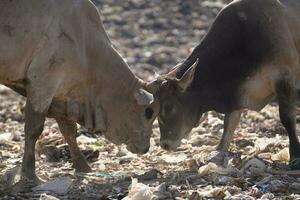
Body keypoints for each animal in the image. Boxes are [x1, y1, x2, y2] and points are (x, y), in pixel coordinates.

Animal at [0, 0, 159, 186]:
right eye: (149, 113)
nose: (146, 148)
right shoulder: (43, 84)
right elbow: (34, 130)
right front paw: (29, 173)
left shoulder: (60, 94)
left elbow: (69, 130)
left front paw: (83, 166)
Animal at [148, 0, 300, 162]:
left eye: (168, 106)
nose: (164, 144)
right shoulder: (236, 95)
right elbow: (229, 125)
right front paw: (219, 152)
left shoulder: (284, 77)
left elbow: (287, 117)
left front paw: (295, 154)